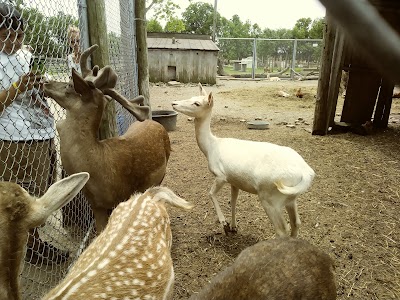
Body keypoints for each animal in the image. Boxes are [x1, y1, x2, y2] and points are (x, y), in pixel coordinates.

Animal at [44, 45, 172, 232]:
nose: (45, 82)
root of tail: (153, 121)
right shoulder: (97, 205)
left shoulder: (122, 196)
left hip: (162, 172)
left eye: (70, 85)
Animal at [172, 84, 316, 237]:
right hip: (291, 197)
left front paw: (224, 224)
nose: (173, 103)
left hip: (270, 197)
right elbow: (233, 201)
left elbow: (210, 193)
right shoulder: (234, 180)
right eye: (192, 97)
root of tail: (307, 173)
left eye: (197, 103)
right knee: (296, 223)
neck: (211, 147)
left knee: (282, 229)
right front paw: (233, 227)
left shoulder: (221, 175)